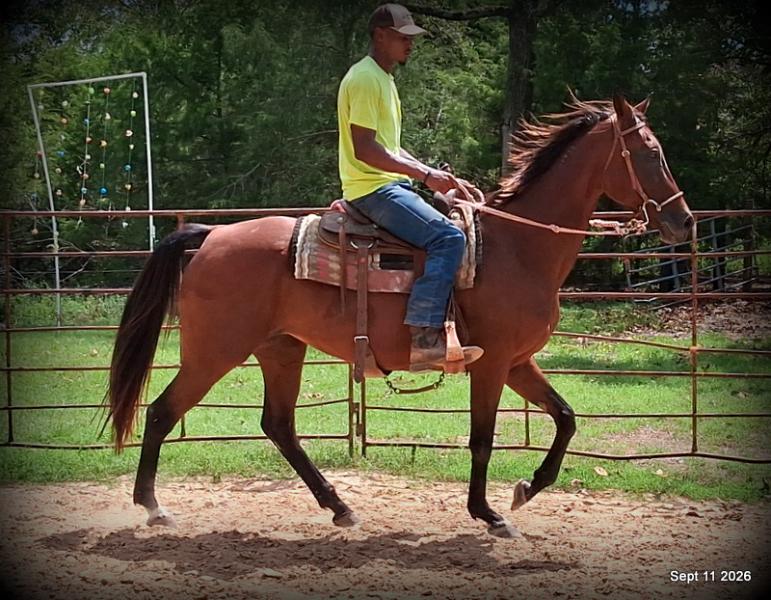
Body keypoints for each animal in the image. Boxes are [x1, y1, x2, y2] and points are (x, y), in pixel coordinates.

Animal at [106, 93, 693, 537]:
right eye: (650, 152)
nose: (684, 221)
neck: (519, 248)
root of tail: (210, 235)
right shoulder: (492, 363)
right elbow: (483, 438)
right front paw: (489, 514)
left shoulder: (518, 362)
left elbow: (567, 418)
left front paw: (526, 490)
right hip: (215, 350)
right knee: (162, 412)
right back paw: (153, 507)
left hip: (280, 348)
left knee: (278, 425)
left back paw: (340, 507)